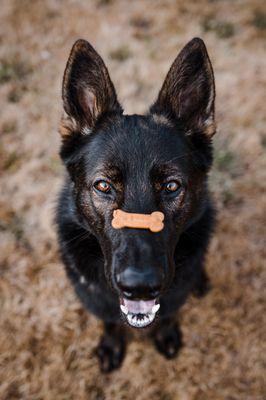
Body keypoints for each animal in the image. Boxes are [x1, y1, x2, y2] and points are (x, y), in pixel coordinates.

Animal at [56, 37, 216, 372]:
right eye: (103, 185)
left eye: (171, 186)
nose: (139, 286)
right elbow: (110, 322)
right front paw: (111, 344)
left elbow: (168, 313)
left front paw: (166, 334)